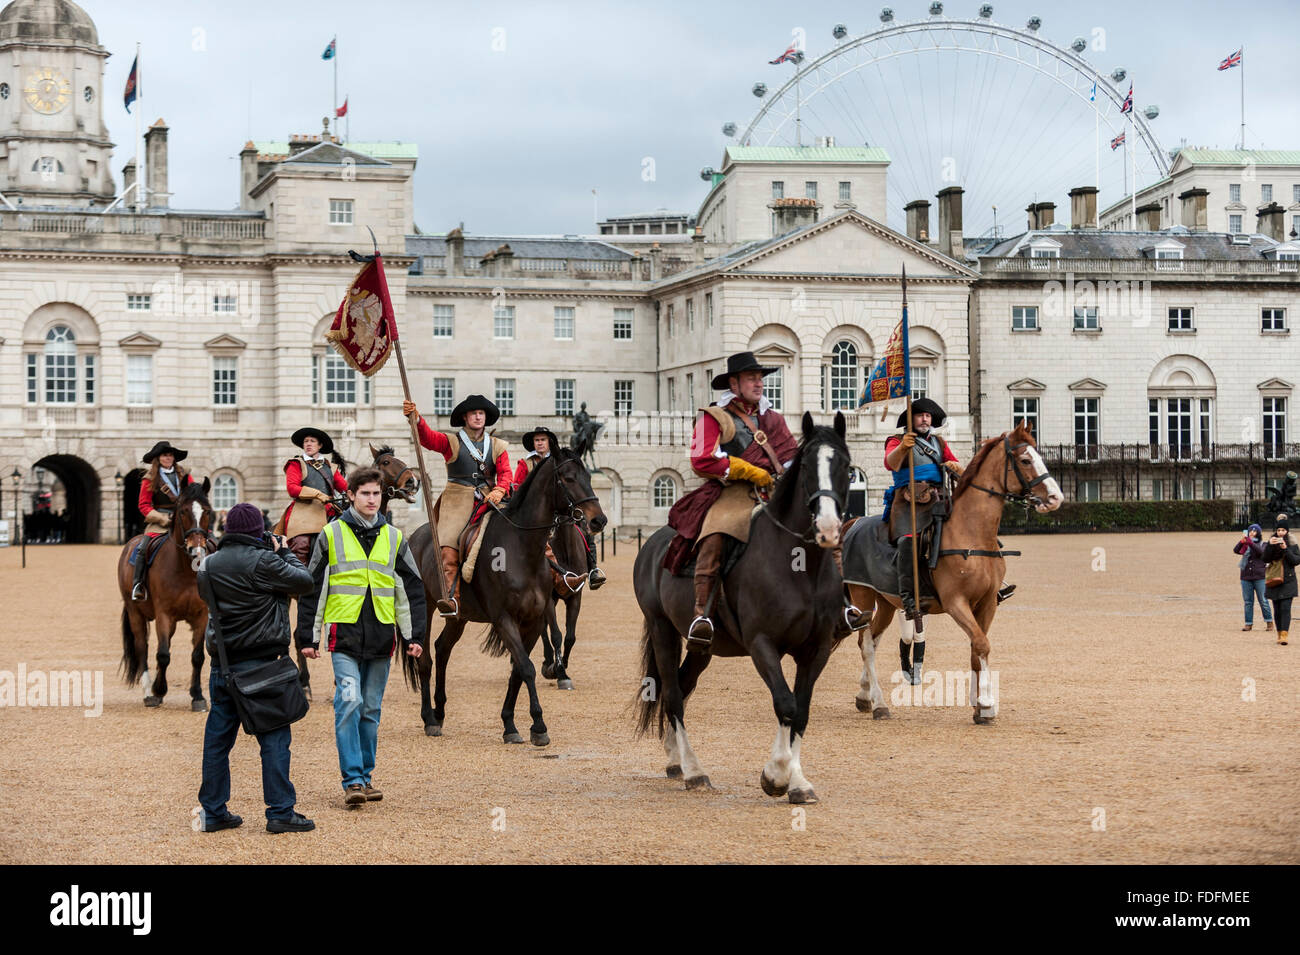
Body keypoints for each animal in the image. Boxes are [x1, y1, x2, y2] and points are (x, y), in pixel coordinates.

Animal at [119, 478, 218, 712]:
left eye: (207, 511)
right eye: (182, 511)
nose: (196, 550)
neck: (186, 571)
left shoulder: (201, 616)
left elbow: (197, 656)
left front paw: (197, 695)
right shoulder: (163, 615)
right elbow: (163, 654)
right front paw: (158, 690)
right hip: (135, 613)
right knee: (142, 647)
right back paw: (148, 691)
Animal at [540, 519, 592, 691]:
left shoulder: (575, 597)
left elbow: (570, 637)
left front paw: (562, 664)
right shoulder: (548, 600)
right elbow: (555, 635)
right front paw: (560, 672)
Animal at [631, 413, 852, 805]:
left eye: (845, 465)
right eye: (806, 466)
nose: (827, 528)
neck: (800, 566)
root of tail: (655, 541)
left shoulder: (817, 649)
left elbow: (802, 711)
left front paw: (797, 782)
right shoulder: (762, 644)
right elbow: (785, 703)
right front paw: (775, 775)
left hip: (701, 647)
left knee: (682, 689)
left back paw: (676, 760)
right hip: (662, 631)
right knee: (672, 696)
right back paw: (694, 770)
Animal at [842, 426, 1066, 722]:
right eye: (1025, 460)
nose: (1055, 497)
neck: (972, 532)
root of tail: (854, 522)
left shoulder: (987, 603)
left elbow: (976, 647)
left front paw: (979, 704)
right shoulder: (955, 602)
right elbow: (981, 644)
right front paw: (987, 702)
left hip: (887, 602)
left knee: (871, 640)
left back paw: (864, 694)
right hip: (863, 595)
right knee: (866, 644)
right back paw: (879, 704)